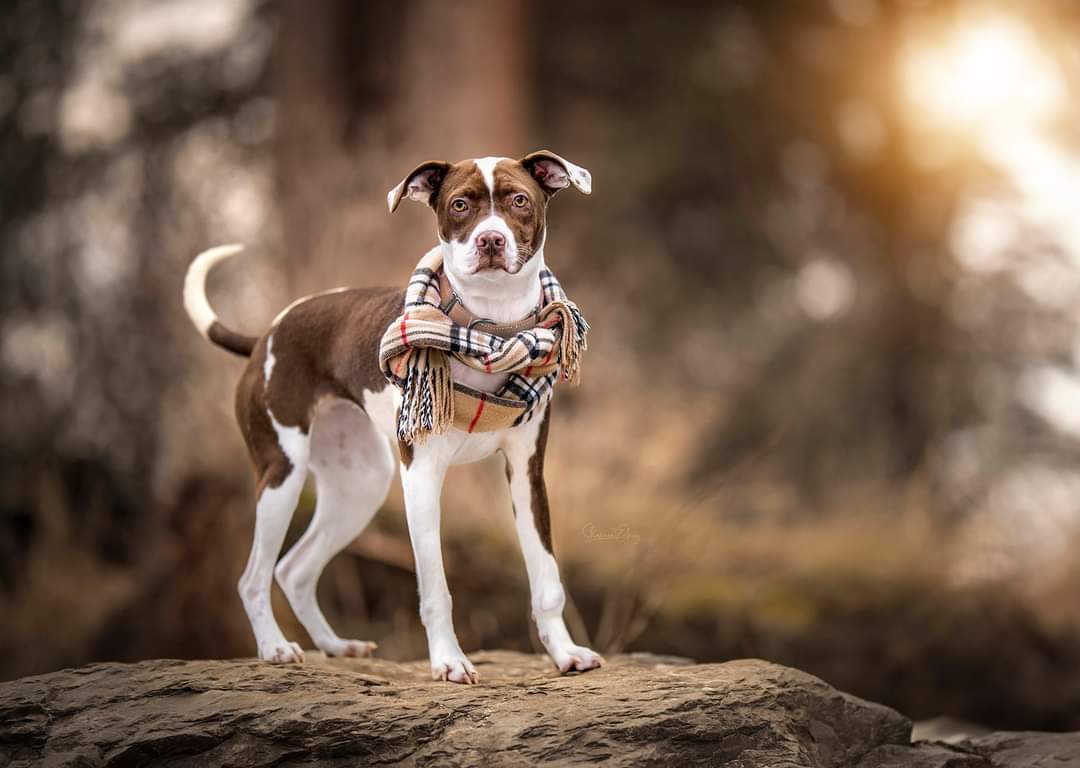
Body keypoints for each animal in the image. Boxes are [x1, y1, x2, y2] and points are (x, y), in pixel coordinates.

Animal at [182, 151, 604, 686]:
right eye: (460, 204)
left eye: (519, 200)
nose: (490, 240)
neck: (491, 330)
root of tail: (266, 335)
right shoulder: (421, 478)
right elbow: (436, 589)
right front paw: (448, 661)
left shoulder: (527, 474)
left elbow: (546, 578)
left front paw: (565, 653)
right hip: (282, 476)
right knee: (253, 577)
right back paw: (275, 647)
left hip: (361, 484)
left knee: (294, 570)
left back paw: (335, 645)